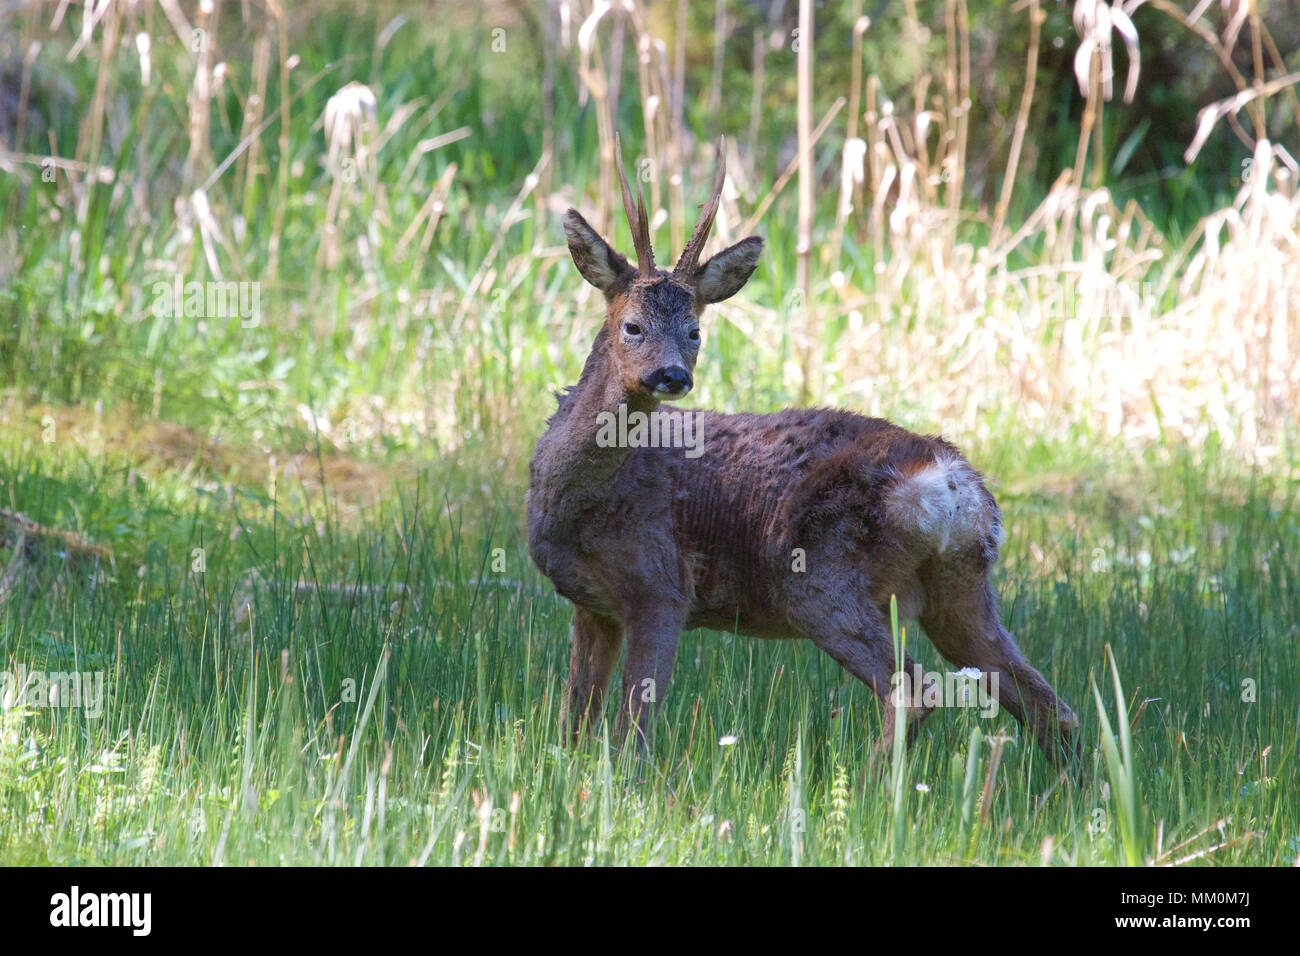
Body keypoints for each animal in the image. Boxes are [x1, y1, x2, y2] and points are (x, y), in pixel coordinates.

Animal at [522, 134, 1081, 770]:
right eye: (632, 326)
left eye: (695, 331)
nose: (672, 376)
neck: (578, 502)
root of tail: (954, 486)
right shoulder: (592, 605)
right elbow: (573, 719)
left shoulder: (662, 586)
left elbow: (633, 728)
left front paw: (624, 784)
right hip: (962, 587)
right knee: (1048, 704)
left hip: (822, 576)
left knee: (916, 690)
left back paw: (865, 787)